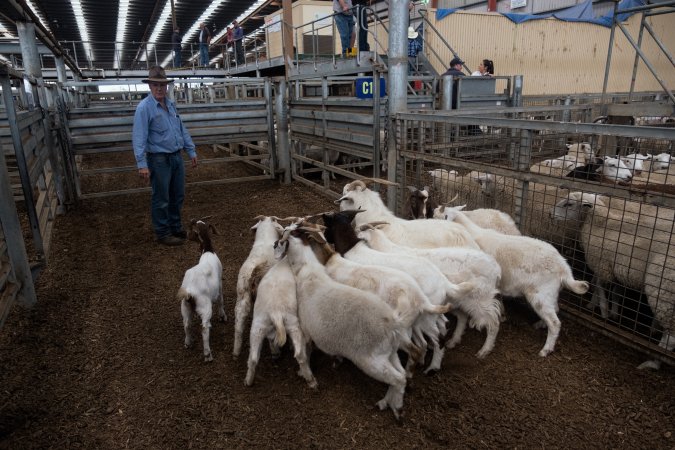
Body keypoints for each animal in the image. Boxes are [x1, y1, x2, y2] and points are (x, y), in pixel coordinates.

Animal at [178, 217, 226, 362]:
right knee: (204, 328)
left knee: (187, 324)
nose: (185, 235)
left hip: (185, 307)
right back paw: (207, 354)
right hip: (205, 307)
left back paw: (188, 343)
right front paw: (223, 317)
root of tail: (189, 292)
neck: (208, 251)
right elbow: (221, 300)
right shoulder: (220, 284)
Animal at [234, 216, 286, 360]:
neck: (264, 240)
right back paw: (276, 352)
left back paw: (236, 351)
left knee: (239, 320)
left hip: (242, 294)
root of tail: (255, 272)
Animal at [440, 206, 588, 356]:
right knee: (555, 310)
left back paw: (545, 349)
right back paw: (540, 324)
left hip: (540, 293)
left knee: (554, 322)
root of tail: (564, 268)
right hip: (550, 293)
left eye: (444, 215)